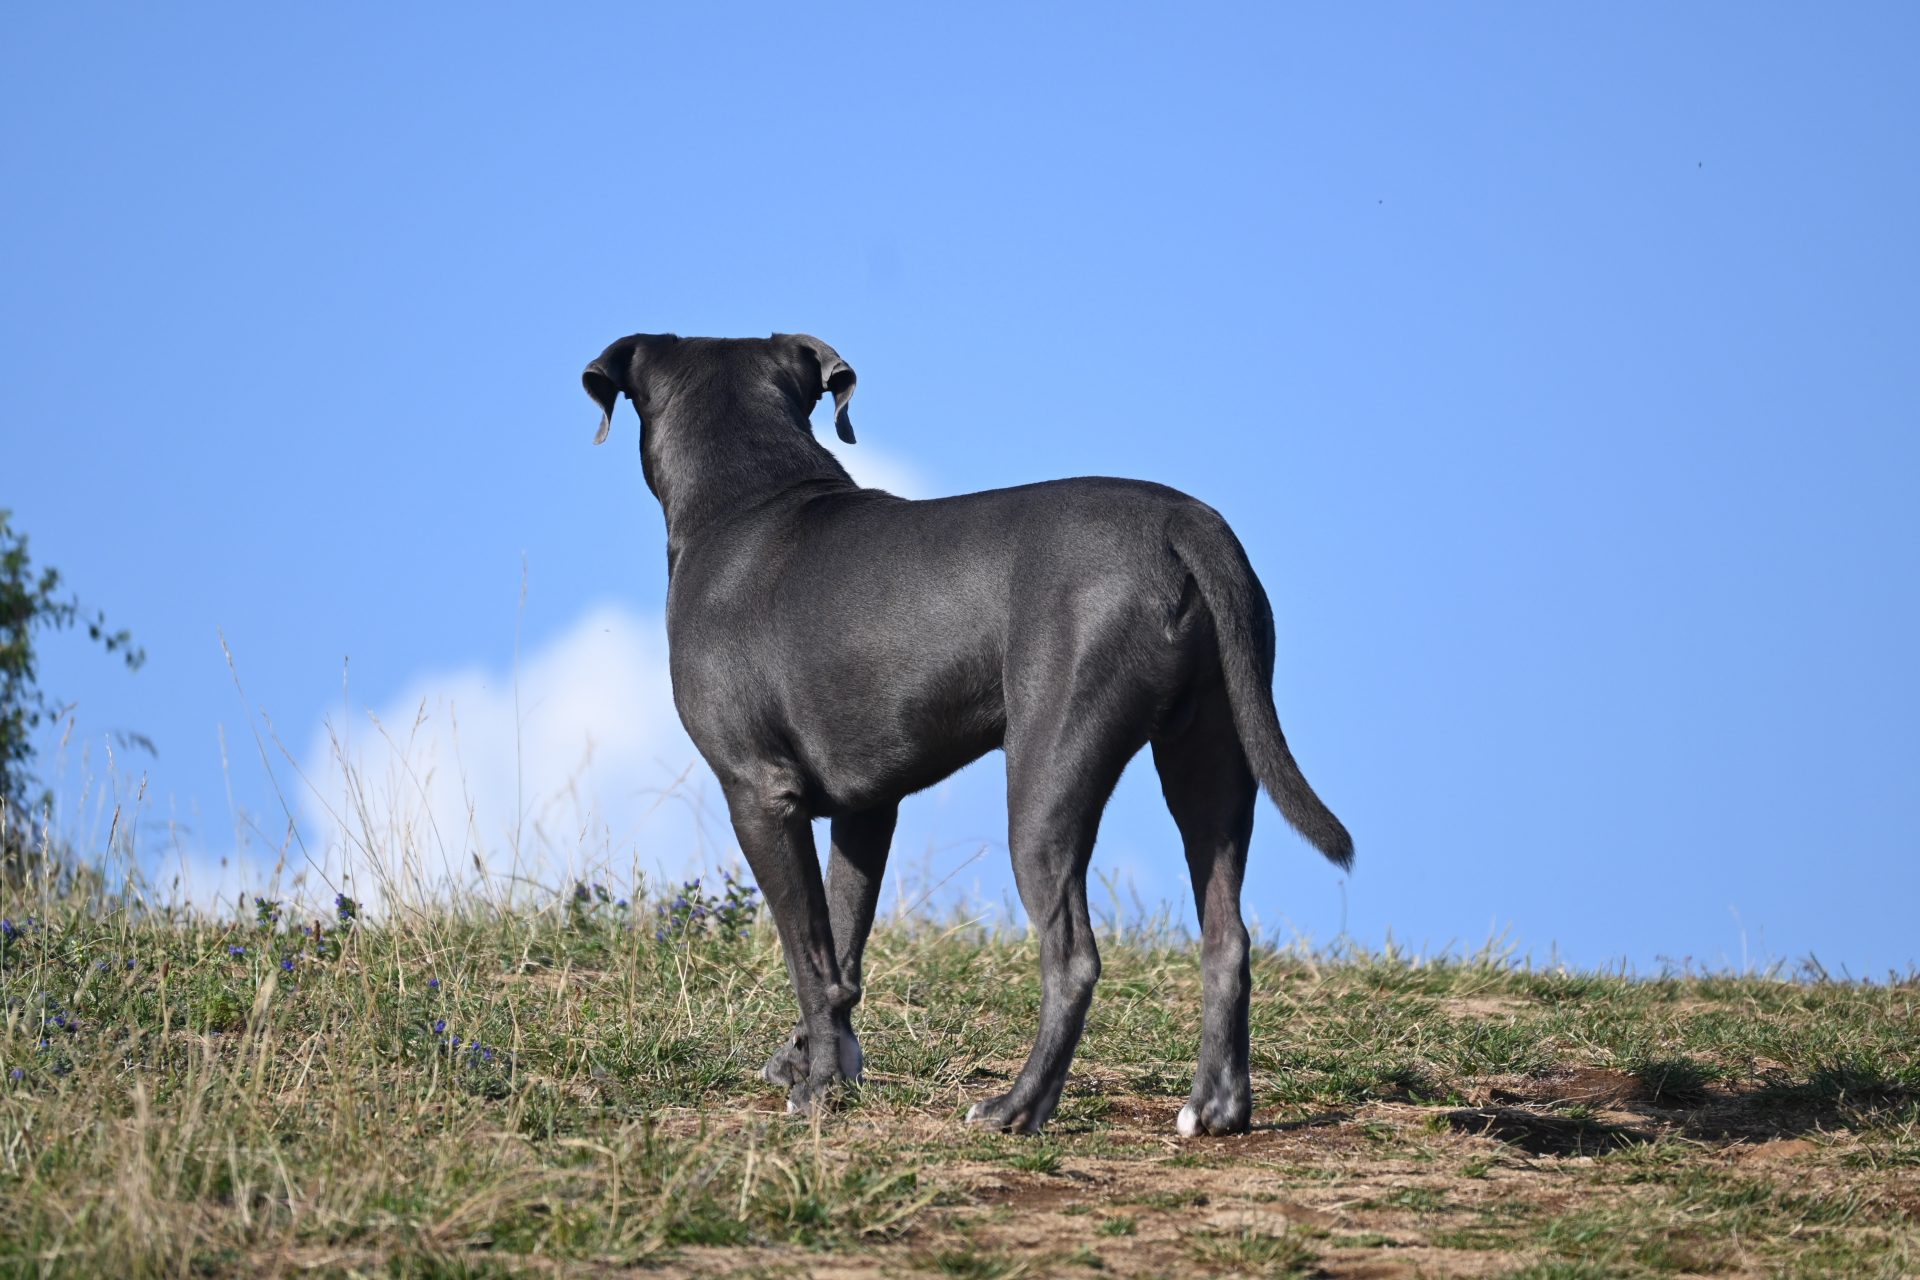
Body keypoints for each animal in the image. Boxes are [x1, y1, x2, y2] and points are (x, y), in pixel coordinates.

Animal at [583, 335, 1351, 1136]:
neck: (751, 500)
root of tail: (1184, 523)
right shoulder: (868, 808)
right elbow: (841, 950)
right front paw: (818, 1061)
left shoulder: (759, 796)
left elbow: (808, 956)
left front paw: (818, 1085)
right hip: (1212, 762)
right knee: (1227, 938)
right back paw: (1215, 1107)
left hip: (1045, 782)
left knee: (1074, 957)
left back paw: (1018, 1106)